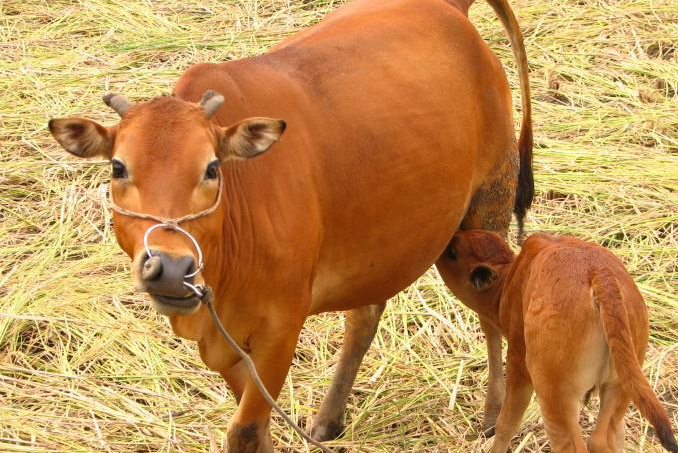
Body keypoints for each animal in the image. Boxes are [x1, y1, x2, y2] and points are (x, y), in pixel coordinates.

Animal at [47, 0, 536, 448]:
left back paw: (493, 415)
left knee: (491, 315)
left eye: (211, 168)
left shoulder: (282, 326)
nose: (170, 267)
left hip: (487, 206)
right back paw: (329, 419)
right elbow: (256, 422)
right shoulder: (226, 345)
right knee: (365, 316)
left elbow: (245, 429)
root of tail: (451, 7)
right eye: (117, 167)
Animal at [444, 230, 676, 452]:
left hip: (556, 396)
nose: (451, 238)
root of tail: (599, 272)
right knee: (604, 440)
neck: (508, 281)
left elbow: (506, 424)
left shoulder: (518, 363)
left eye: (454, 252)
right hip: (620, 386)